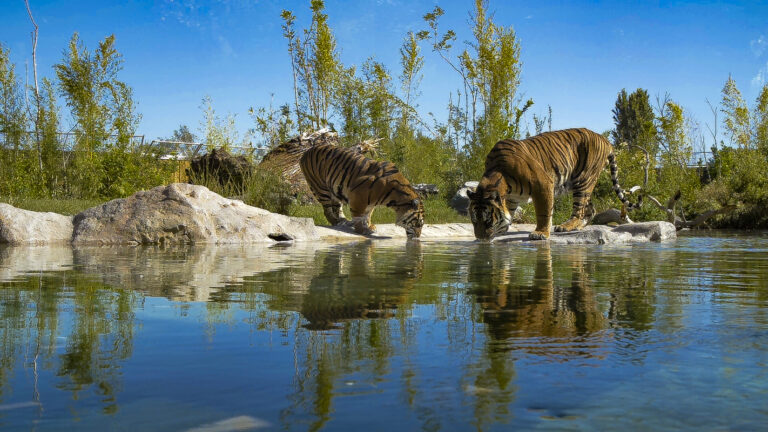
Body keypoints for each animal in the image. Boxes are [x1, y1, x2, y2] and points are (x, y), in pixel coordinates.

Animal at [298, 145, 426, 240]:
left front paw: (370, 226)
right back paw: (336, 222)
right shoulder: (357, 197)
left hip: (334, 189)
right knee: (327, 210)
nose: (418, 237)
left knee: (337, 206)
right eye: (418, 223)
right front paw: (361, 230)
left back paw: (343, 220)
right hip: (320, 187)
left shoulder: (371, 202)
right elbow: (359, 216)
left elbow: (368, 214)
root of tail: (307, 151)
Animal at [468, 126, 640, 241]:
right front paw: (503, 228)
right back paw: (577, 226)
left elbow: (543, 212)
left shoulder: (542, 184)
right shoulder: (511, 198)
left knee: (579, 210)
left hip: (584, 180)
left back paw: (566, 226)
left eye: (488, 221)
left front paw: (540, 233)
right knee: (590, 209)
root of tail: (604, 139)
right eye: (474, 221)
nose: (480, 239)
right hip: (582, 183)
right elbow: (508, 213)